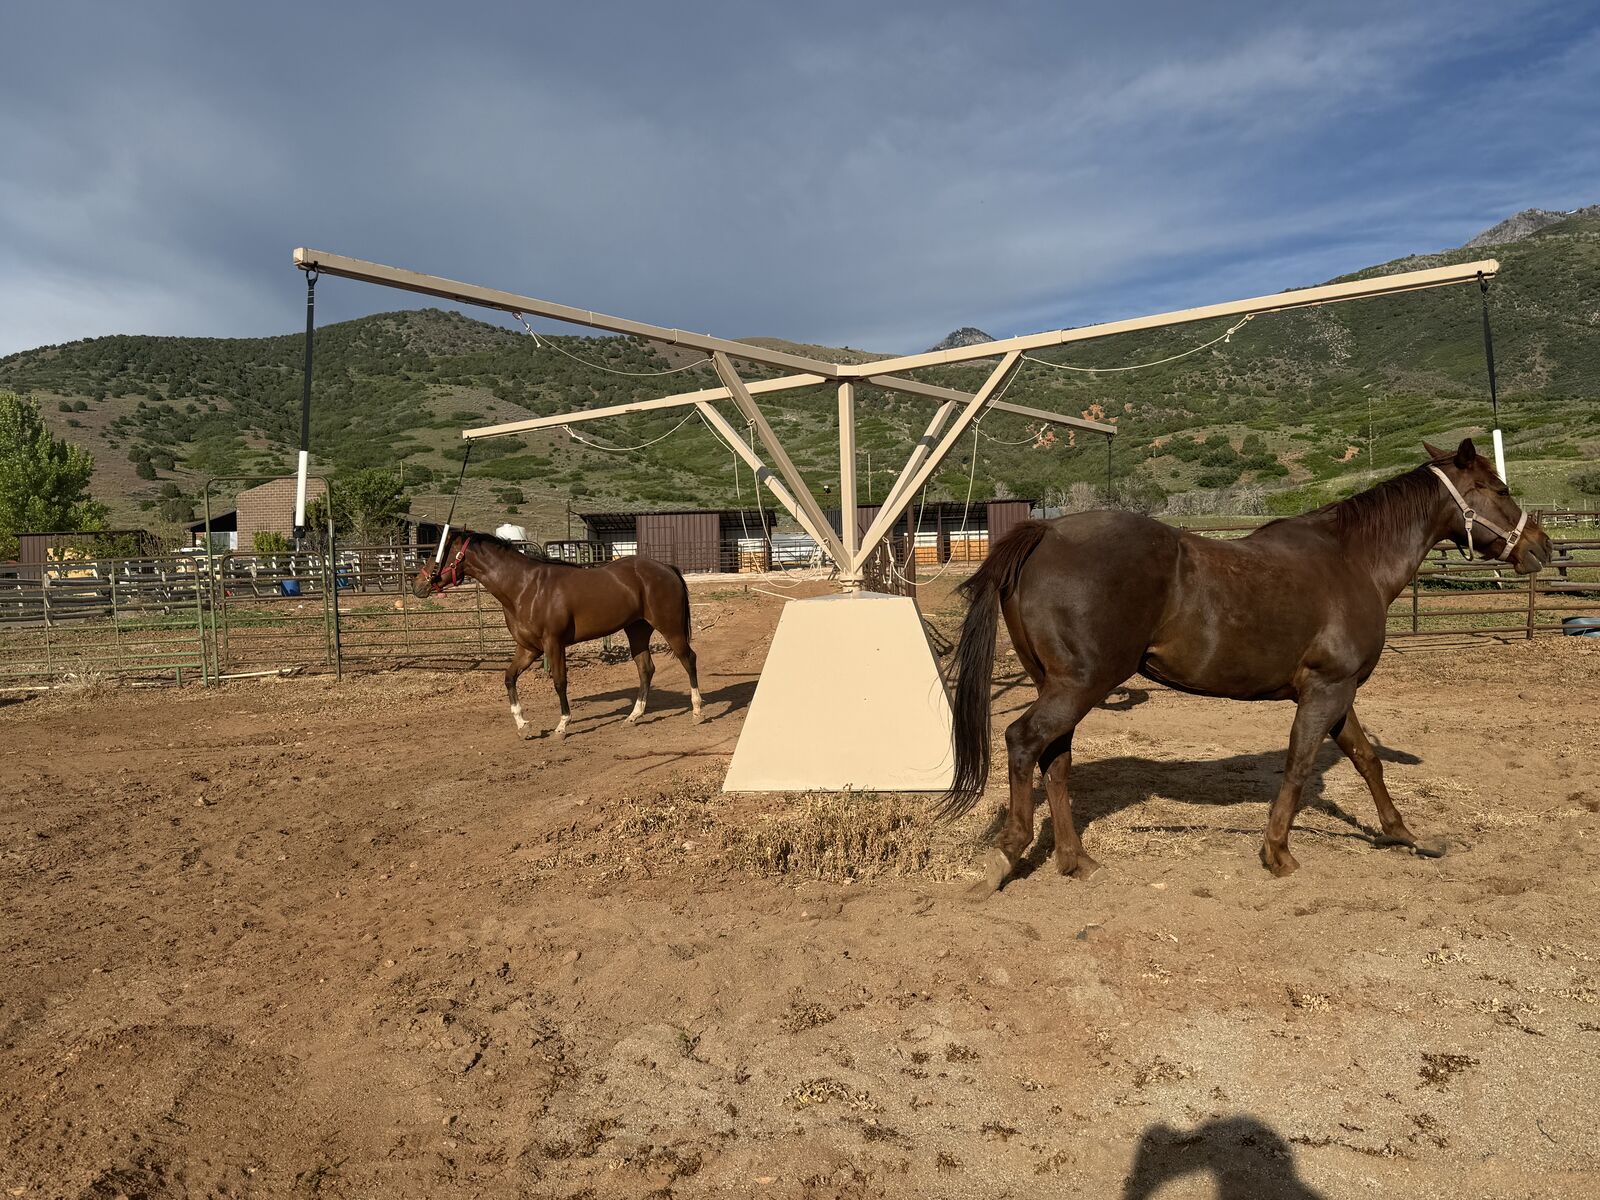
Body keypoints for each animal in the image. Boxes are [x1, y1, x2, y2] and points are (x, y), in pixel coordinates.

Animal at [412, 530, 703, 738]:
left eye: (438, 553)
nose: (417, 585)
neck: (525, 587)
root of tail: (667, 568)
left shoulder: (553, 643)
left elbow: (559, 682)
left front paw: (562, 725)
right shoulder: (528, 649)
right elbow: (509, 678)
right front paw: (523, 726)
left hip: (670, 627)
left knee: (688, 659)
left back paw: (698, 711)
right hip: (637, 630)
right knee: (646, 669)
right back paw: (633, 716)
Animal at [943, 438, 1553, 897]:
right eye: (1499, 489)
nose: (1542, 546)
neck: (1352, 561)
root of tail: (1046, 531)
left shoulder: (1338, 693)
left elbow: (1367, 760)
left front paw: (1405, 835)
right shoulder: (1328, 690)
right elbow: (1300, 765)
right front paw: (1278, 852)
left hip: (1062, 685)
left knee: (1057, 762)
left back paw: (1076, 861)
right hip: (1079, 685)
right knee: (1024, 742)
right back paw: (1007, 856)